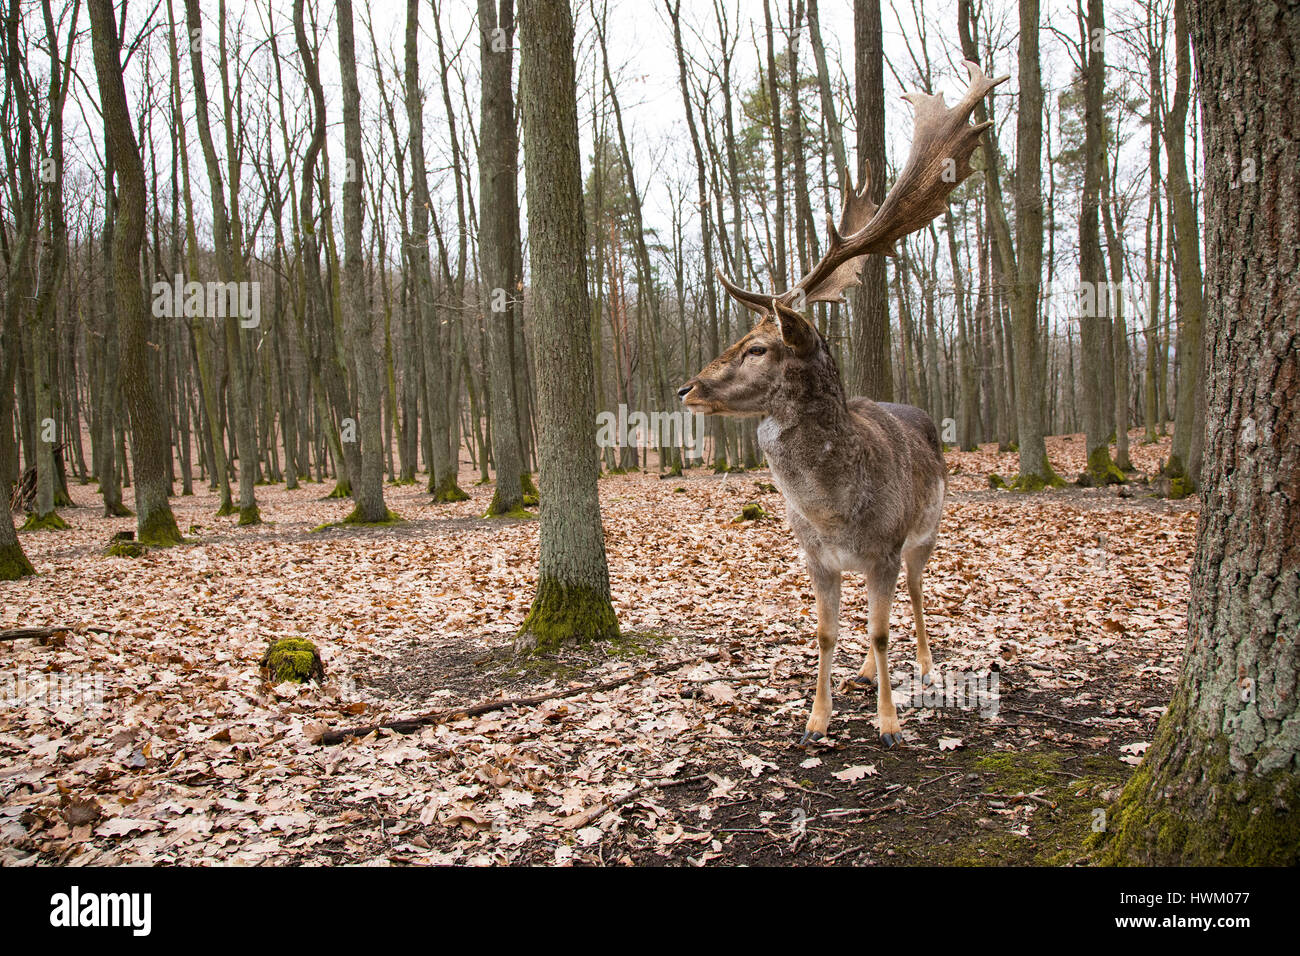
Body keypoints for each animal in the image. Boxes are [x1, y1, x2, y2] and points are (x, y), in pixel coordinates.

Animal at [681, 61, 1003, 749]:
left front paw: (889, 724)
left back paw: (923, 666)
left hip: (927, 533)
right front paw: (815, 720)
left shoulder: (885, 546)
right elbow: (826, 632)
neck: (832, 510)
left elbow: (882, 629)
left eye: (758, 347)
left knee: (916, 595)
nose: (685, 388)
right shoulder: (815, 557)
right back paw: (861, 673)